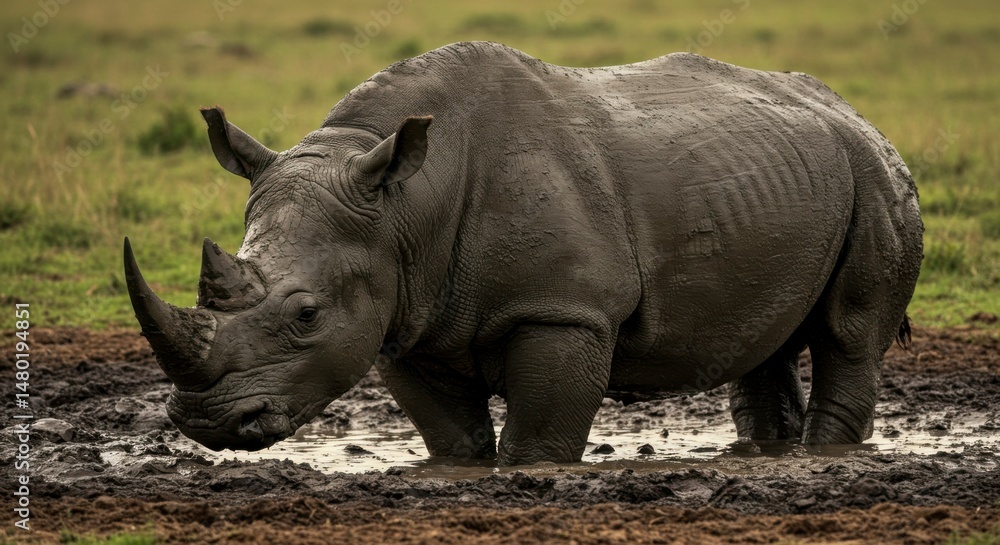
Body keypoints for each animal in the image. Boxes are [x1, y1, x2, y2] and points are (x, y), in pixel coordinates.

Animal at [124, 42, 922, 466]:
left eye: (306, 314)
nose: (204, 419)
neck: (403, 207)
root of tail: (852, 109)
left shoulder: (564, 311)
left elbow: (538, 434)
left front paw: (528, 470)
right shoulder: (405, 314)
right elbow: (451, 434)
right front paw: (463, 465)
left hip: (876, 173)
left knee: (850, 333)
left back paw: (824, 455)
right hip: (786, 176)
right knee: (767, 341)